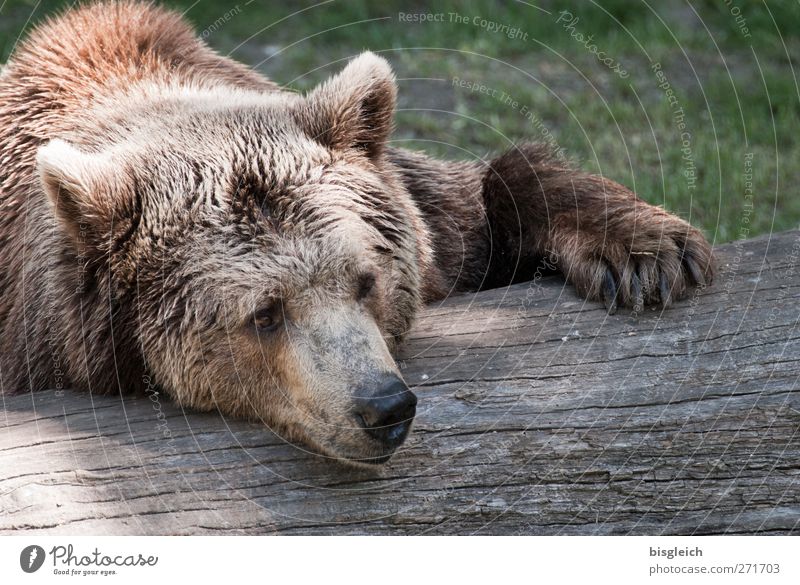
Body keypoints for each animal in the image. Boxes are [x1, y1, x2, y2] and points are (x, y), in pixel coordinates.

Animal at [0, 2, 712, 464]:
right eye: (264, 314)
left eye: (366, 280)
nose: (385, 408)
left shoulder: (428, 224)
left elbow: (496, 195)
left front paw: (651, 254)